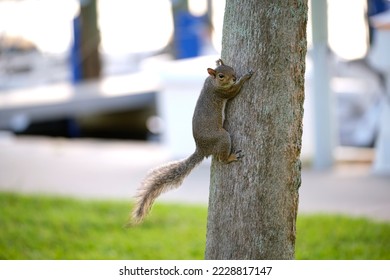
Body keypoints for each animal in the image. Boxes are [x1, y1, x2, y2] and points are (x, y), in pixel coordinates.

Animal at [131, 59, 253, 225]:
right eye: (221, 76)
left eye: (231, 68)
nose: (234, 78)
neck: (212, 82)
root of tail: (202, 148)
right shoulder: (222, 92)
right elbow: (235, 91)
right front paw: (245, 78)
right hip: (223, 137)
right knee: (222, 159)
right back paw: (231, 157)